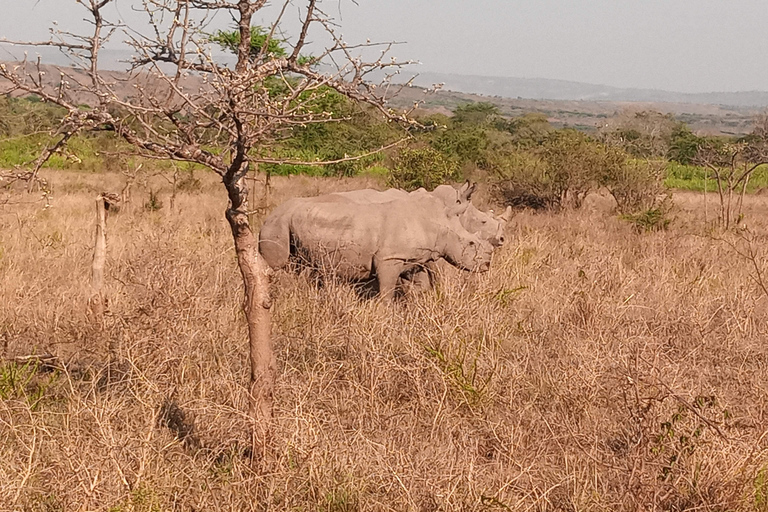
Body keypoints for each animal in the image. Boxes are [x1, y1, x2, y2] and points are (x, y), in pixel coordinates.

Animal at [258, 195, 492, 300]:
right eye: (471, 243)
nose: (488, 265)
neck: (438, 224)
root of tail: (269, 214)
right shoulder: (389, 259)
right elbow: (386, 291)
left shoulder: (413, 259)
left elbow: (421, 285)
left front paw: (417, 303)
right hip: (277, 223)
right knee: (275, 265)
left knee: (295, 267)